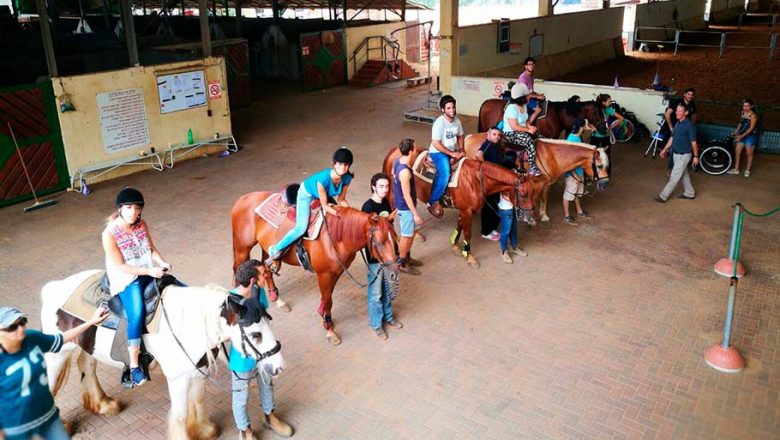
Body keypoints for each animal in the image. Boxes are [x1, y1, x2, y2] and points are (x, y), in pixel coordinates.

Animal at [39, 270, 284, 438]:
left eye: (270, 323)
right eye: (255, 334)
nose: (278, 367)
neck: (187, 325)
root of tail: (51, 288)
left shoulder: (198, 371)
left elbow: (198, 400)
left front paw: (204, 430)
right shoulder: (177, 379)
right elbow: (180, 414)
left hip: (88, 346)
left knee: (86, 367)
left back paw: (104, 405)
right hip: (57, 355)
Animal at [227, 195, 396, 344]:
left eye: (395, 239)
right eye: (379, 243)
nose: (393, 271)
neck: (335, 238)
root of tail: (242, 199)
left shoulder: (336, 272)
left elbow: (327, 298)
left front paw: (323, 317)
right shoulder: (323, 274)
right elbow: (328, 300)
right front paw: (330, 330)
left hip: (265, 247)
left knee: (266, 270)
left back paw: (278, 299)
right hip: (242, 248)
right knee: (238, 270)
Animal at [384, 146, 536, 268]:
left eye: (533, 192)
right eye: (523, 194)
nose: (531, 218)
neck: (475, 179)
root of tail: (394, 151)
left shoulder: (464, 210)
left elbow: (459, 226)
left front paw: (456, 245)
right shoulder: (467, 211)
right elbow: (467, 233)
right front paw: (470, 256)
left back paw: (417, 234)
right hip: (393, 193)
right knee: (393, 214)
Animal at [464, 133, 608, 223]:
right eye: (599, 166)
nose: (605, 184)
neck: (551, 154)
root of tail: (469, 138)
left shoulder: (547, 183)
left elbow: (544, 199)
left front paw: (544, 216)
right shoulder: (536, 184)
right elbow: (532, 199)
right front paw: (530, 218)